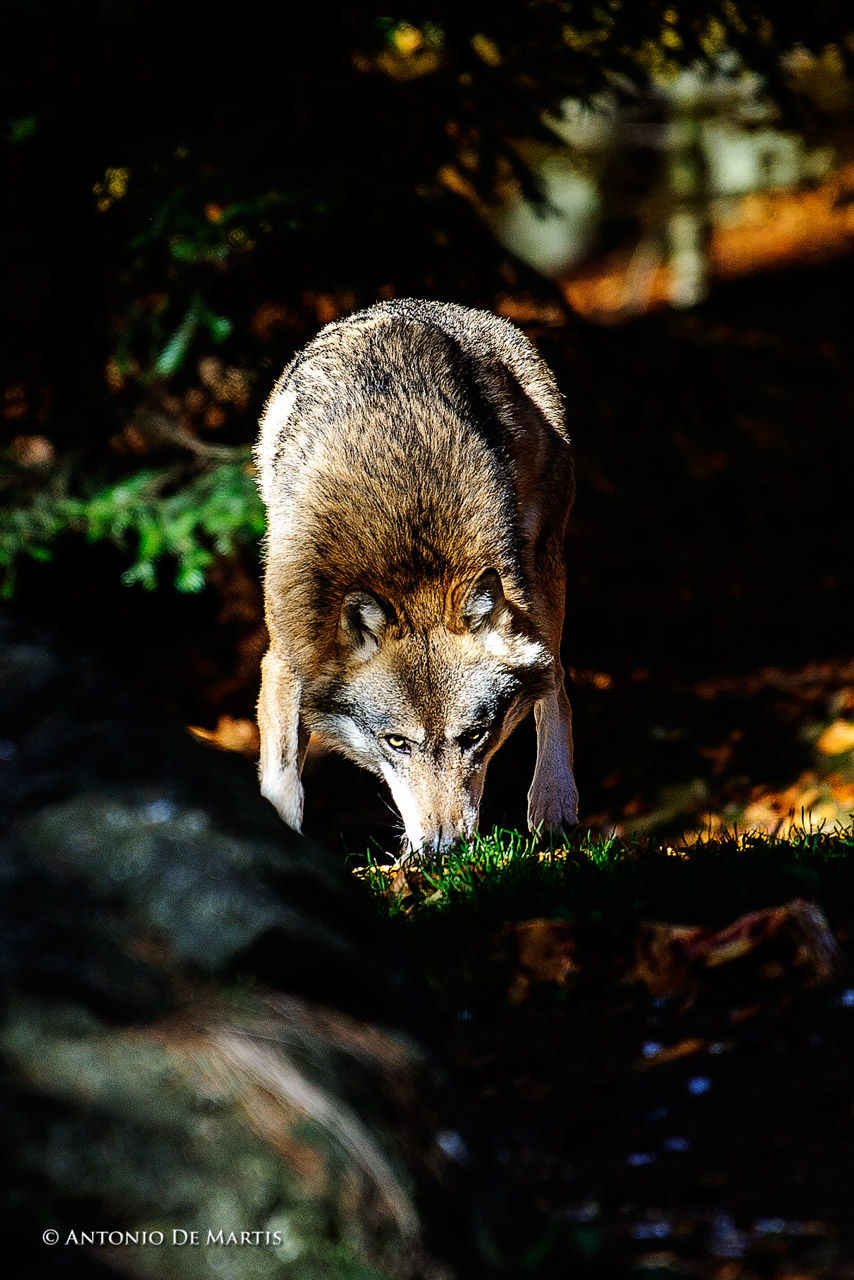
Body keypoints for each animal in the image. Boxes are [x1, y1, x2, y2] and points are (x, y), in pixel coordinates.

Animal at [255, 298, 578, 857]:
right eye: (397, 743)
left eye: (473, 736)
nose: (444, 849)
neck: (410, 564)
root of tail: (439, 306)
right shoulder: (286, 657)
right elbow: (283, 781)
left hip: (539, 573)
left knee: (555, 681)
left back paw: (554, 803)